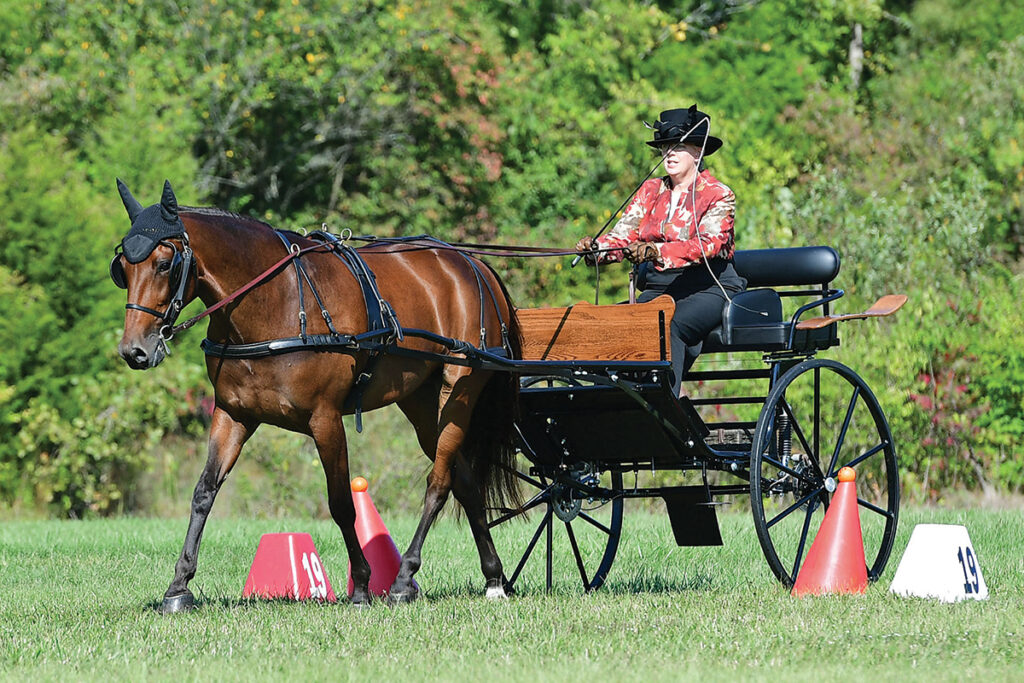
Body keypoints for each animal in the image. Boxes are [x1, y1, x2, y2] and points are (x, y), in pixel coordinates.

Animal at [110, 180, 522, 612]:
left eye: (164, 264)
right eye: (122, 268)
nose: (135, 351)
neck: (276, 300)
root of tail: (473, 264)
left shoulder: (325, 419)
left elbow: (341, 503)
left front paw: (361, 585)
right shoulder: (232, 414)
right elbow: (204, 492)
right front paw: (178, 586)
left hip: (460, 389)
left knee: (439, 483)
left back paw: (403, 577)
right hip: (423, 403)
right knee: (465, 481)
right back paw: (494, 578)